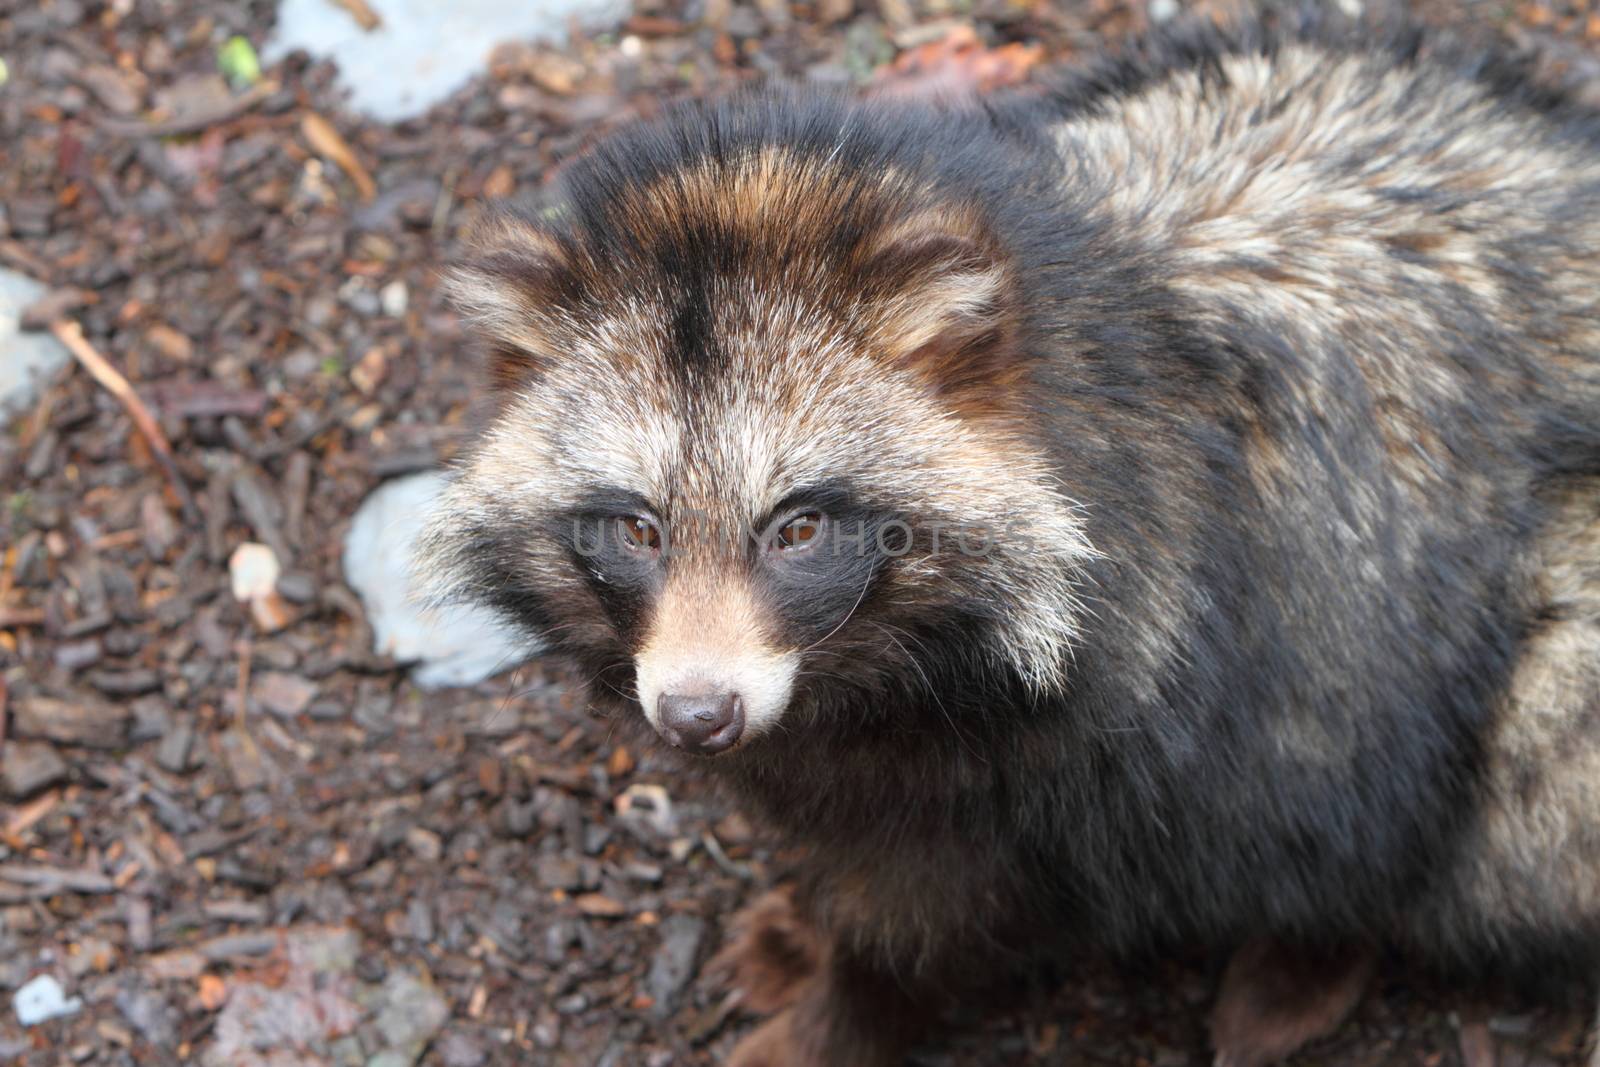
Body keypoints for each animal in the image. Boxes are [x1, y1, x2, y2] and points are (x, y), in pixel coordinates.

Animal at [422, 10, 1600, 1067]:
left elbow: (937, 917)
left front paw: (842, 1015)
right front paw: (810, 922)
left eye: (799, 525)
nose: (697, 714)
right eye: (637, 526)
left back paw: (1315, 950)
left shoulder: (1094, 745)